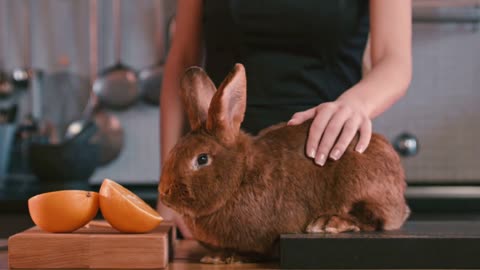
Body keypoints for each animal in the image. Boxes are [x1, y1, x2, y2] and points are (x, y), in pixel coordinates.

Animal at [159, 63, 410, 264]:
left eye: (202, 159)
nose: (164, 192)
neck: (240, 176)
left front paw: (221, 257)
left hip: (362, 185)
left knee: (372, 218)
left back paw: (328, 222)